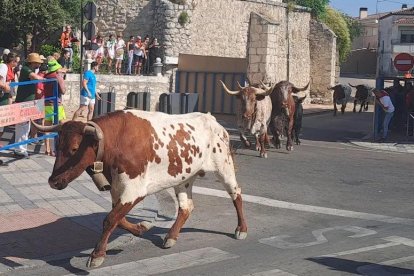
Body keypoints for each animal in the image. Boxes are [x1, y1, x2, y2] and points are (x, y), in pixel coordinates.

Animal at [32, 111, 247, 268]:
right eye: (58, 144)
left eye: (75, 148)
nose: (53, 181)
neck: (116, 141)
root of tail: (212, 120)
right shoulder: (117, 189)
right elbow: (117, 219)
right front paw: (140, 228)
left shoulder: (134, 191)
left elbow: (110, 219)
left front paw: (97, 255)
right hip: (184, 178)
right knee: (186, 207)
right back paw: (171, 236)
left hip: (224, 167)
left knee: (236, 194)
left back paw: (241, 229)